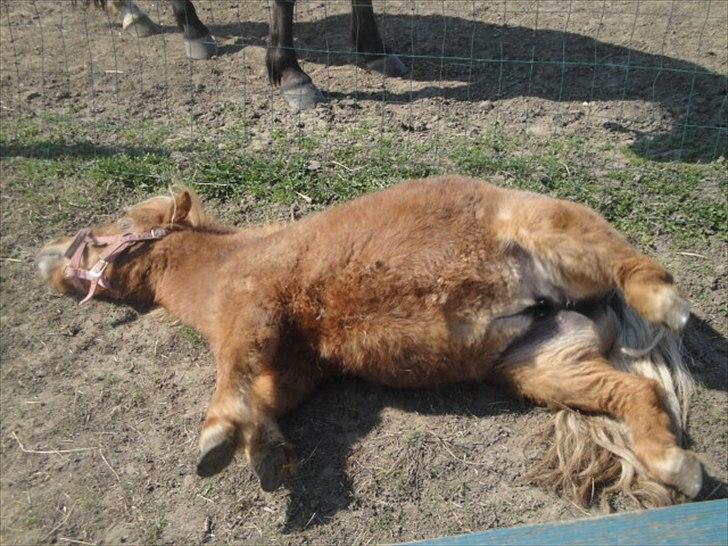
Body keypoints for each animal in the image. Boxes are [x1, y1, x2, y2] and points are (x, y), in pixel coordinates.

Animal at [37, 176, 702, 506]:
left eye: (117, 229)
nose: (48, 257)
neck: (230, 263)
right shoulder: (296, 363)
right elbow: (266, 397)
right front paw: (263, 450)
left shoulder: (254, 308)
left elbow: (232, 372)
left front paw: (218, 438)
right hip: (541, 365)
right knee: (636, 396)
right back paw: (675, 466)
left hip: (555, 237)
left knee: (631, 265)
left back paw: (666, 302)